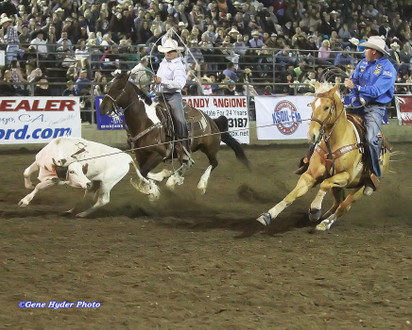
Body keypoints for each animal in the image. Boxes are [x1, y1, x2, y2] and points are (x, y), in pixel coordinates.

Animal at [99, 73, 251, 200]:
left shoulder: (159, 154)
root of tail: (211, 121)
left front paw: (158, 183)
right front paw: (156, 186)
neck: (145, 122)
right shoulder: (141, 155)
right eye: (109, 86)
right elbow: (143, 173)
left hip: (209, 148)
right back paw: (173, 180)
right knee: (187, 163)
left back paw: (199, 184)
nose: (102, 108)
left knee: (213, 163)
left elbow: (144, 172)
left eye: (119, 87)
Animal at [258, 82, 390, 231]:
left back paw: (325, 223)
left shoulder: (346, 176)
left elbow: (324, 183)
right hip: (337, 187)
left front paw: (315, 209)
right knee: (337, 203)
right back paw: (321, 218)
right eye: (312, 105)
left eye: (326, 107)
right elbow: (292, 195)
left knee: (343, 206)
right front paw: (268, 214)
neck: (335, 142)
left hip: (360, 188)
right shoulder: (310, 175)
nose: (312, 135)